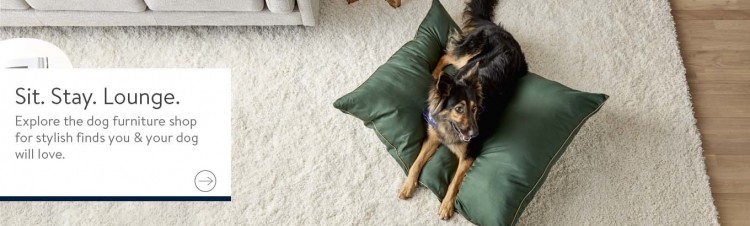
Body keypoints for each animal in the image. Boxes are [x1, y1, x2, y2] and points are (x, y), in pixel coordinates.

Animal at [400, 0, 528, 221]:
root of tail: (498, 29)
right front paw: (408, 185)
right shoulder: (433, 137)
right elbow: (416, 162)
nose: (476, 133)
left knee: (447, 55)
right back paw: (436, 77)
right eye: (459, 109)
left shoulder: (468, 155)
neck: (449, 127)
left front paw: (446, 205)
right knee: (446, 55)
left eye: (475, 109)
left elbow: (455, 181)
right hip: (468, 56)